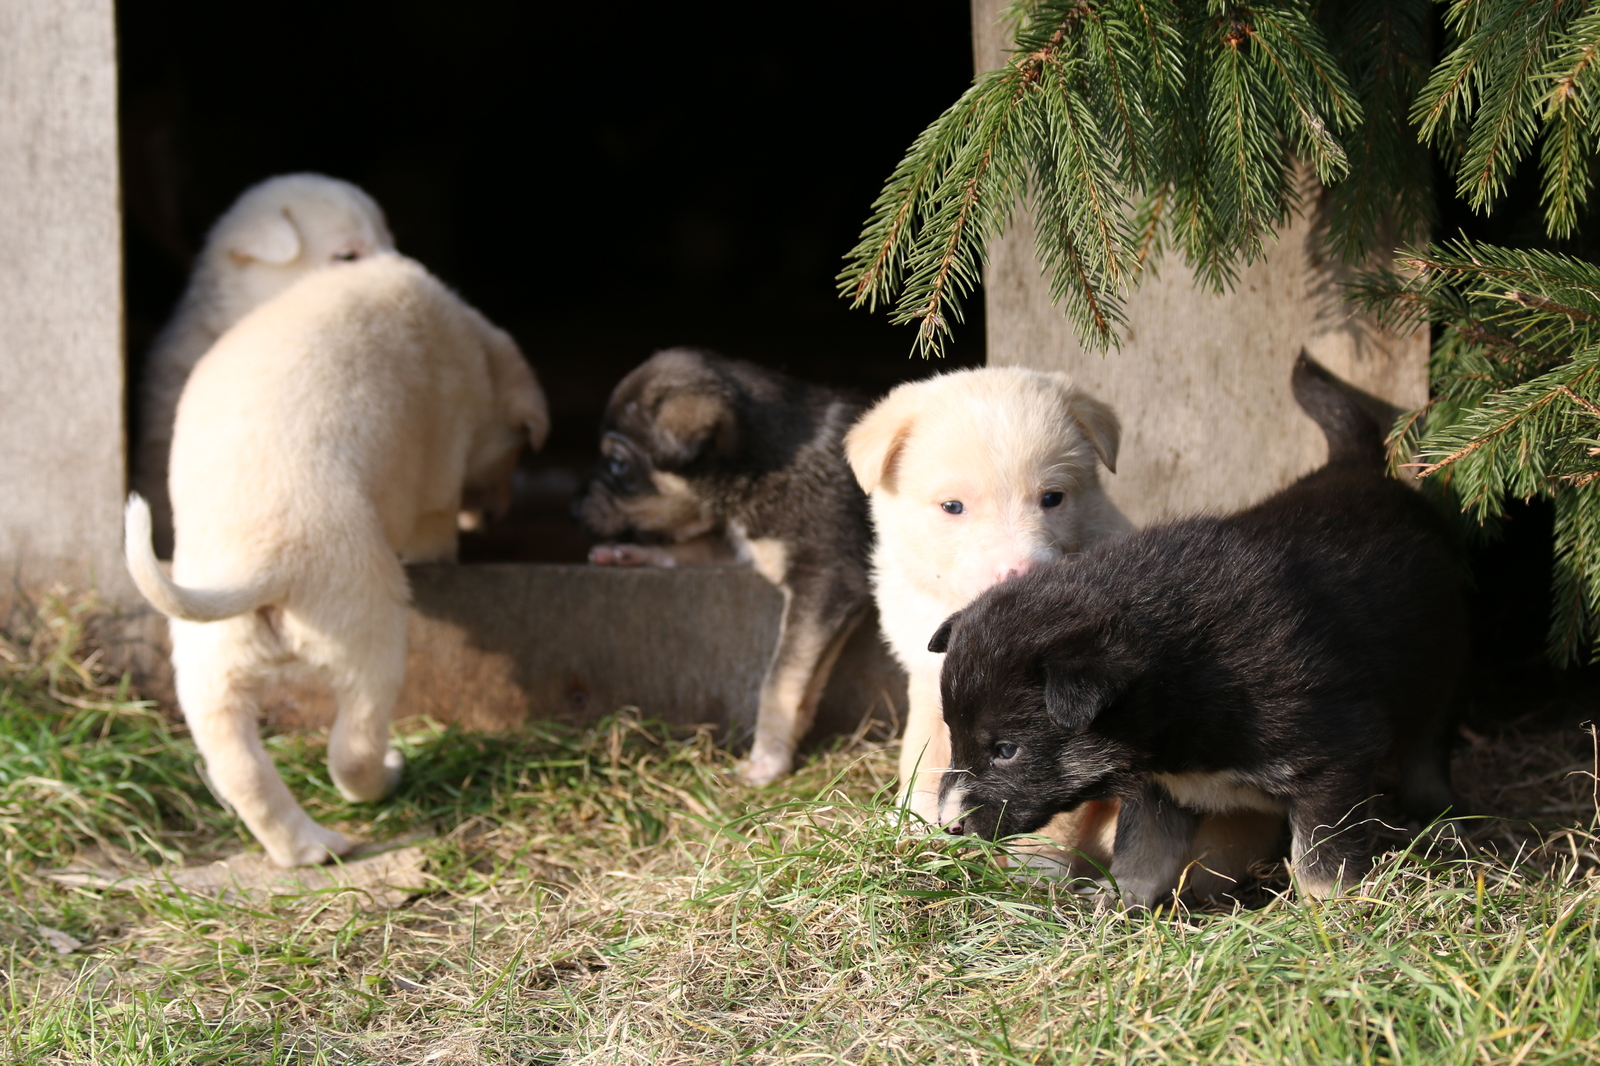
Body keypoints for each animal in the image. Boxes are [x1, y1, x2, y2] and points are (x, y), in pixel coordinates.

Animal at [126, 256, 550, 864]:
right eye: (515, 451)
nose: (491, 516)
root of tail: (263, 564)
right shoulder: (440, 478)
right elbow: (437, 525)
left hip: (210, 669)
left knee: (243, 774)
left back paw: (309, 848)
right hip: (369, 637)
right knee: (351, 750)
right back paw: (385, 779)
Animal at [579, 347, 876, 781]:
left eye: (617, 464)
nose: (572, 508)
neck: (767, 459)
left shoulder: (826, 578)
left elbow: (779, 681)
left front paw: (768, 758)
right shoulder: (752, 553)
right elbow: (695, 547)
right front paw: (626, 553)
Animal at [934, 352, 1465, 902]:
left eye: (1007, 750)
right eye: (954, 732)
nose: (948, 826)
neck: (1187, 673)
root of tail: (1358, 465)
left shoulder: (1335, 756)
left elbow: (1322, 854)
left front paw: (1329, 910)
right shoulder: (1157, 785)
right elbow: (1142, 850)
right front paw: (1118, 899)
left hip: (1443, 664)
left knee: (1430, 743)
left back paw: (1436, 815)